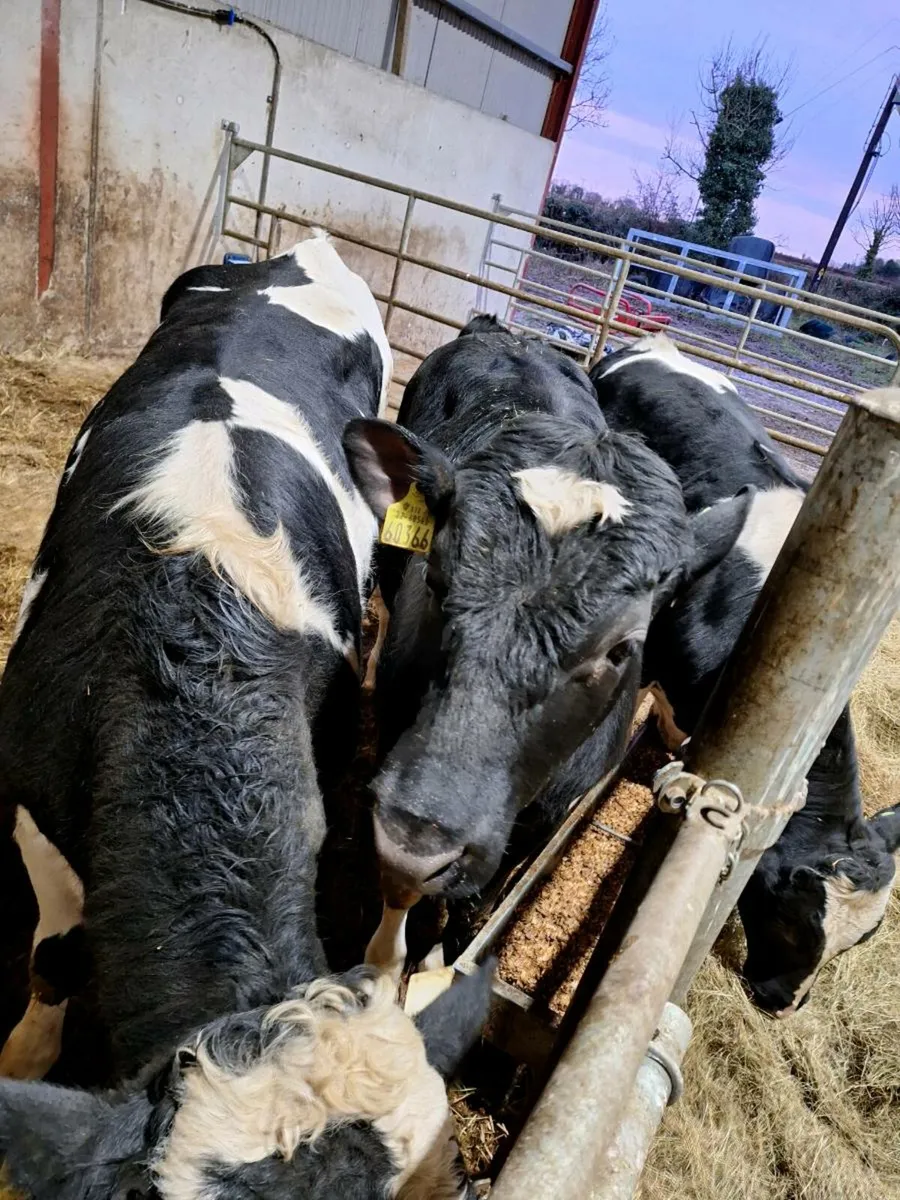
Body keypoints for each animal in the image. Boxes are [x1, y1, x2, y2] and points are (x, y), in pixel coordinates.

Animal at [343, 316, 753, 973]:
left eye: (621, 648)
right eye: (435, 579)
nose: (417, 840)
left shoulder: (539, 824)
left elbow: (476, 909)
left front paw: (441, 959)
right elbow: (409, 903)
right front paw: (391, 956)